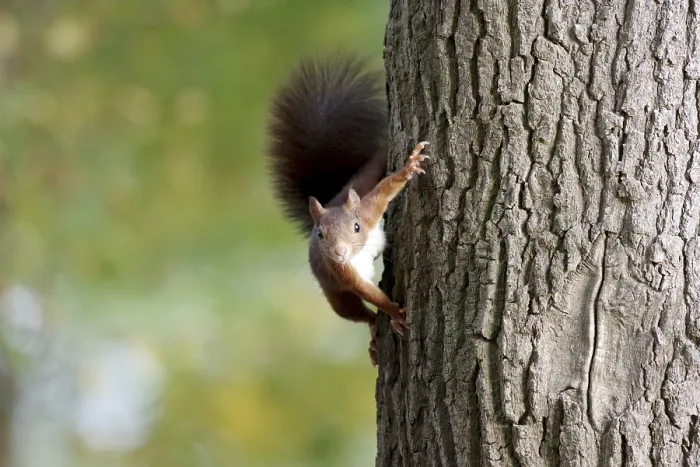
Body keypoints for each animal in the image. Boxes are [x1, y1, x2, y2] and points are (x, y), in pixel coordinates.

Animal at [266, 56, 430, 365]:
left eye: (356, 227)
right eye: (321, 235)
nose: (340, 252)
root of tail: (335, 199)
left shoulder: (368, 211)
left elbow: (386, 189)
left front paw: (408, 168)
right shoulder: (342, 273)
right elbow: (372, 295)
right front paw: (394, 313)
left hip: (360, 188)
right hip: (336, 295)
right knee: (360, 315)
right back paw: (373, 338)